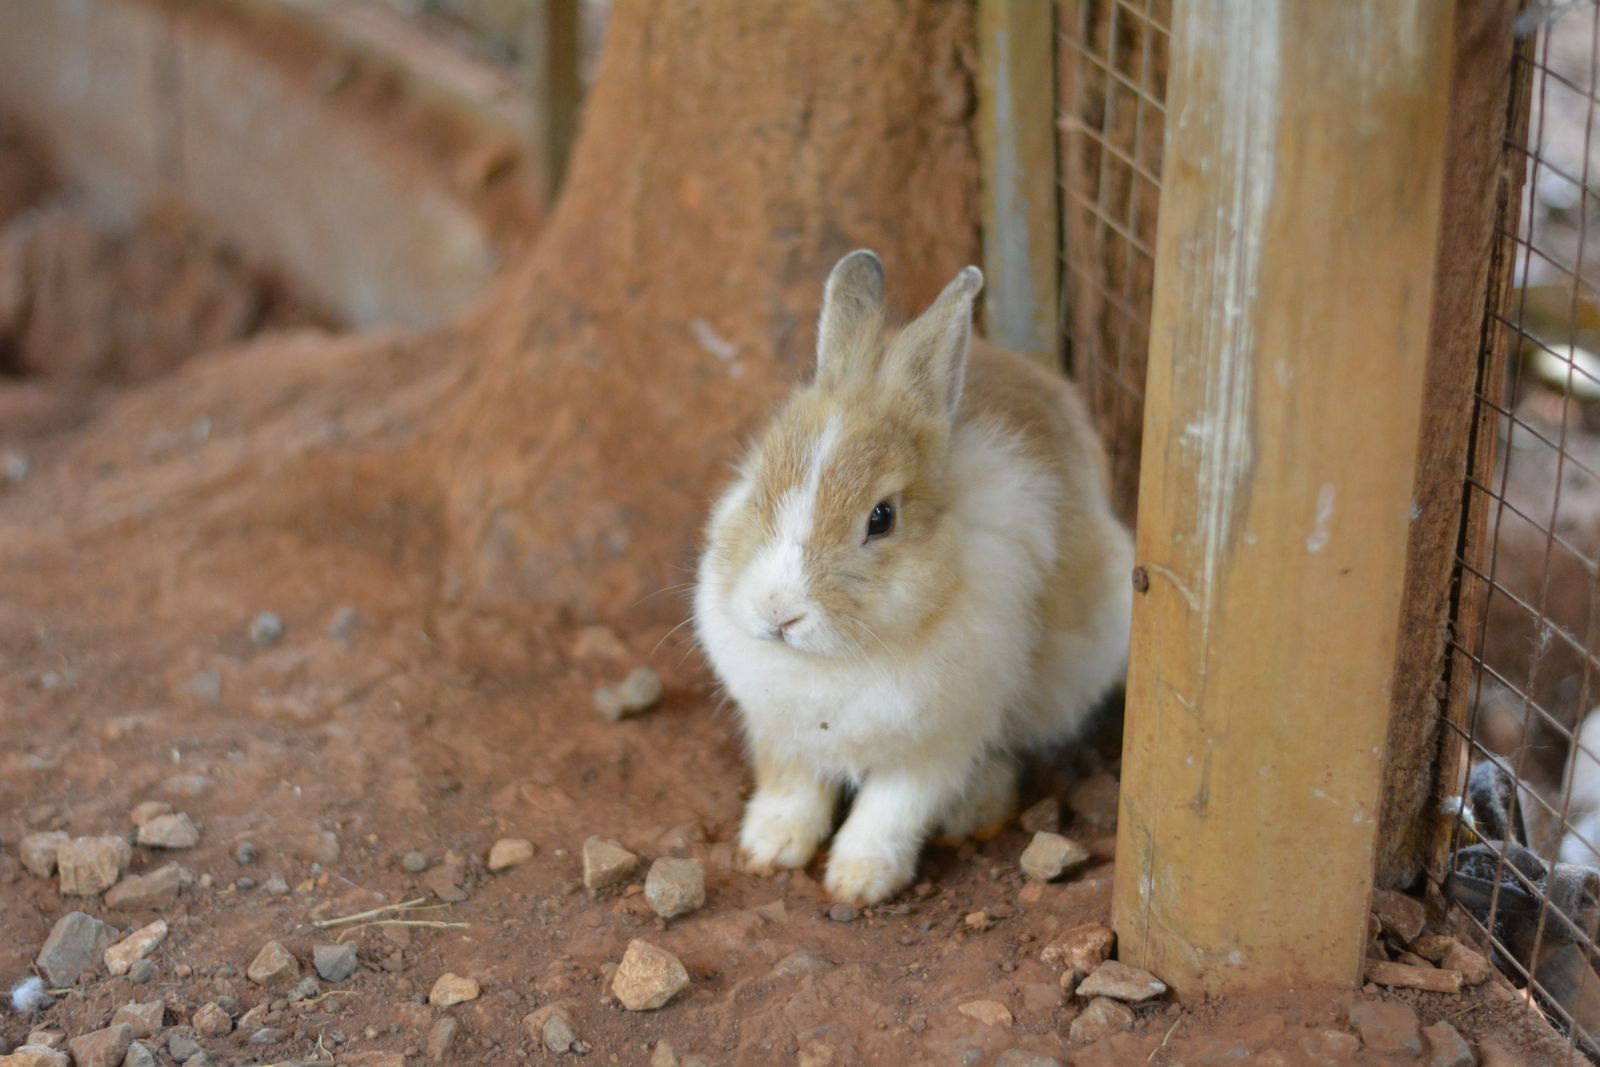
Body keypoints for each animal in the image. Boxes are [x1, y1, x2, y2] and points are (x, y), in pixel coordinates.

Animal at [694, 250, 1134, 905]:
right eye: (759, 485)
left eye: (881, 518)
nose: (777, 612)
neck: (834, 662)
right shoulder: (782, 732)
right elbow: (792, 789)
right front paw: (769, 849)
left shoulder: (936, 744)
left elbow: (890, 810)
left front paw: (857, 881)